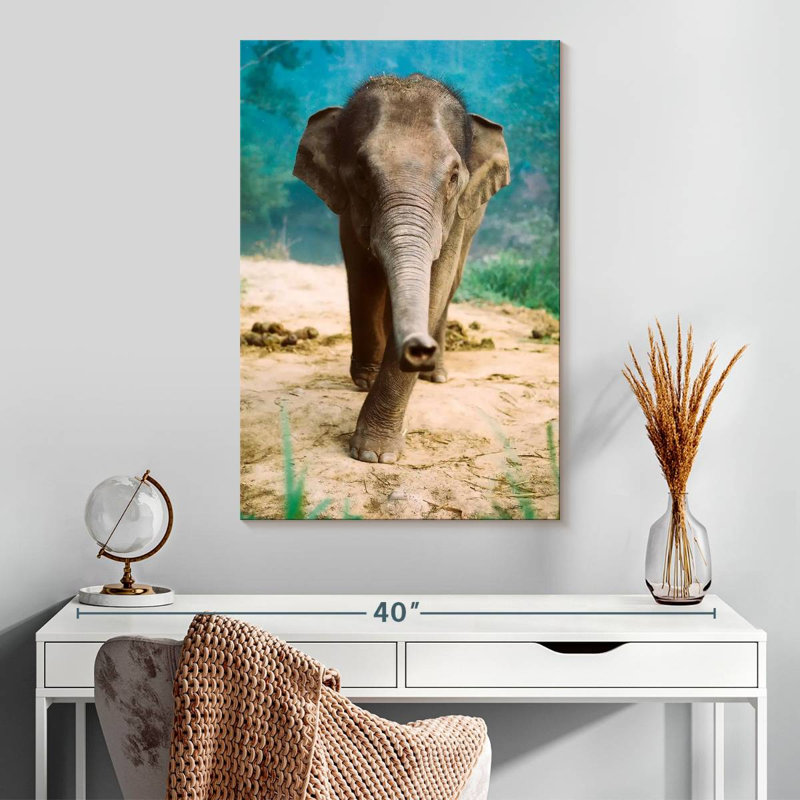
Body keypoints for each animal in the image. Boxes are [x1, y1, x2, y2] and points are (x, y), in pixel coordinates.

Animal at [293, 73, 510, 464]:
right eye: (362, 174)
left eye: (454, 176)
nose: (418, 349)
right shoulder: (346, 208)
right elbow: (362, 274)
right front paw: (366, 392)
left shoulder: (457, 214)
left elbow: (437, 284)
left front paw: (375, 455)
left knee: (453, 284)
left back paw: (436, 376)